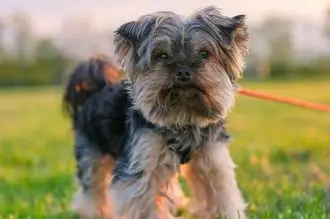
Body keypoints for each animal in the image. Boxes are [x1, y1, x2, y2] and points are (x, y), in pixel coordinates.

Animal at [62, 5, 248, 219]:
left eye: (204, 54)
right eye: (162, 56)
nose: (183, 71)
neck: (183, 118)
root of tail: (94, 89)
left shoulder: (211, 155)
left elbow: (220, 191)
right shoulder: (142, 159)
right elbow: (143, 199)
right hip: (91, 149)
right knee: (93, 182)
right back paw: (93, 211)